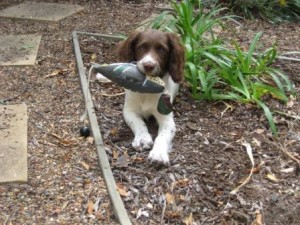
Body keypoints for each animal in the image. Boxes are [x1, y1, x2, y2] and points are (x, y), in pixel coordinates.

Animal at [117, 29, 185, 164]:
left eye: (162, 49)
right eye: (141, 47)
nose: (148, 65)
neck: (147, 88)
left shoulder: (167, 118)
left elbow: (162, 136)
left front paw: (158, 154)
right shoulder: (129, 111)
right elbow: (138, 122)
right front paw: (142, 139)